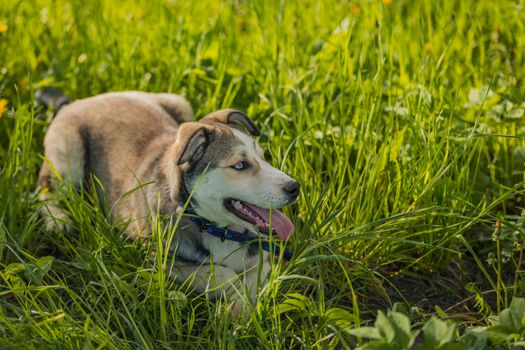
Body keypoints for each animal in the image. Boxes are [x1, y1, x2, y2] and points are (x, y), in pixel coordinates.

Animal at [36, 90, 298, 314]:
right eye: (240, 165)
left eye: (263, 157)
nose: (294, 187)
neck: (216, 229)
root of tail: (77, 102)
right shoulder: (159, 260)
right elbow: (223, 275)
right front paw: (232, 309)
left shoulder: (263, 257)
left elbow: (253, 278)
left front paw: (240, 311)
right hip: (68, 154)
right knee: (45, 188)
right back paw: (57, 220)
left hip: (179, 103)